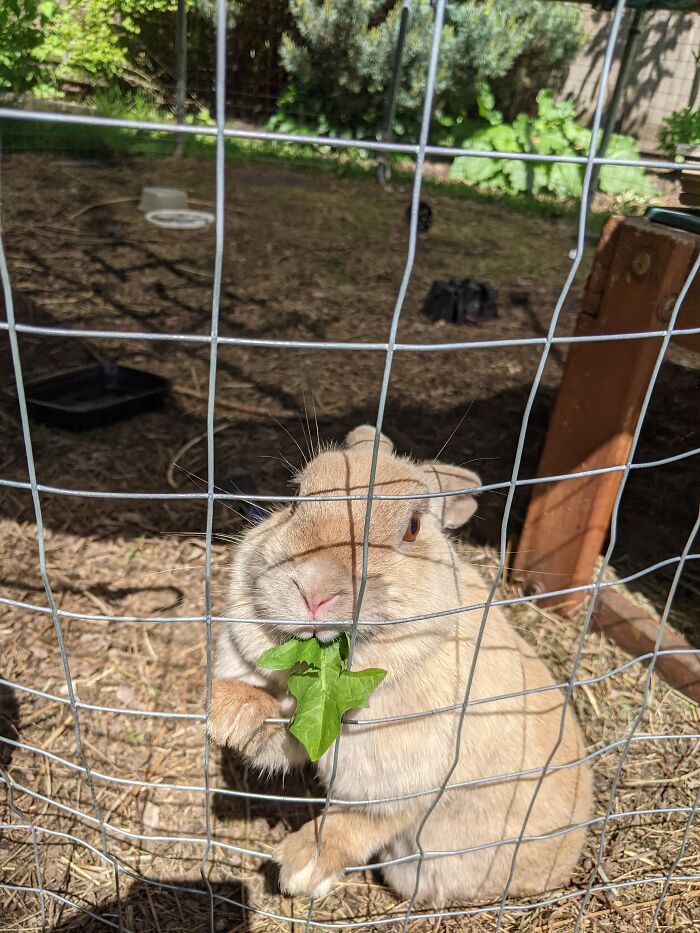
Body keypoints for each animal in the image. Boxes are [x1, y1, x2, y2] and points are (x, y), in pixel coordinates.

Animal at [208, 425, 593, 906]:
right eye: (295, 497)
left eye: (412, 527)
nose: (313, 590)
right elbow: (271, 728)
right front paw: (230, 712)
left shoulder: (405, 788)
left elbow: (357, 823)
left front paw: (300, 871)